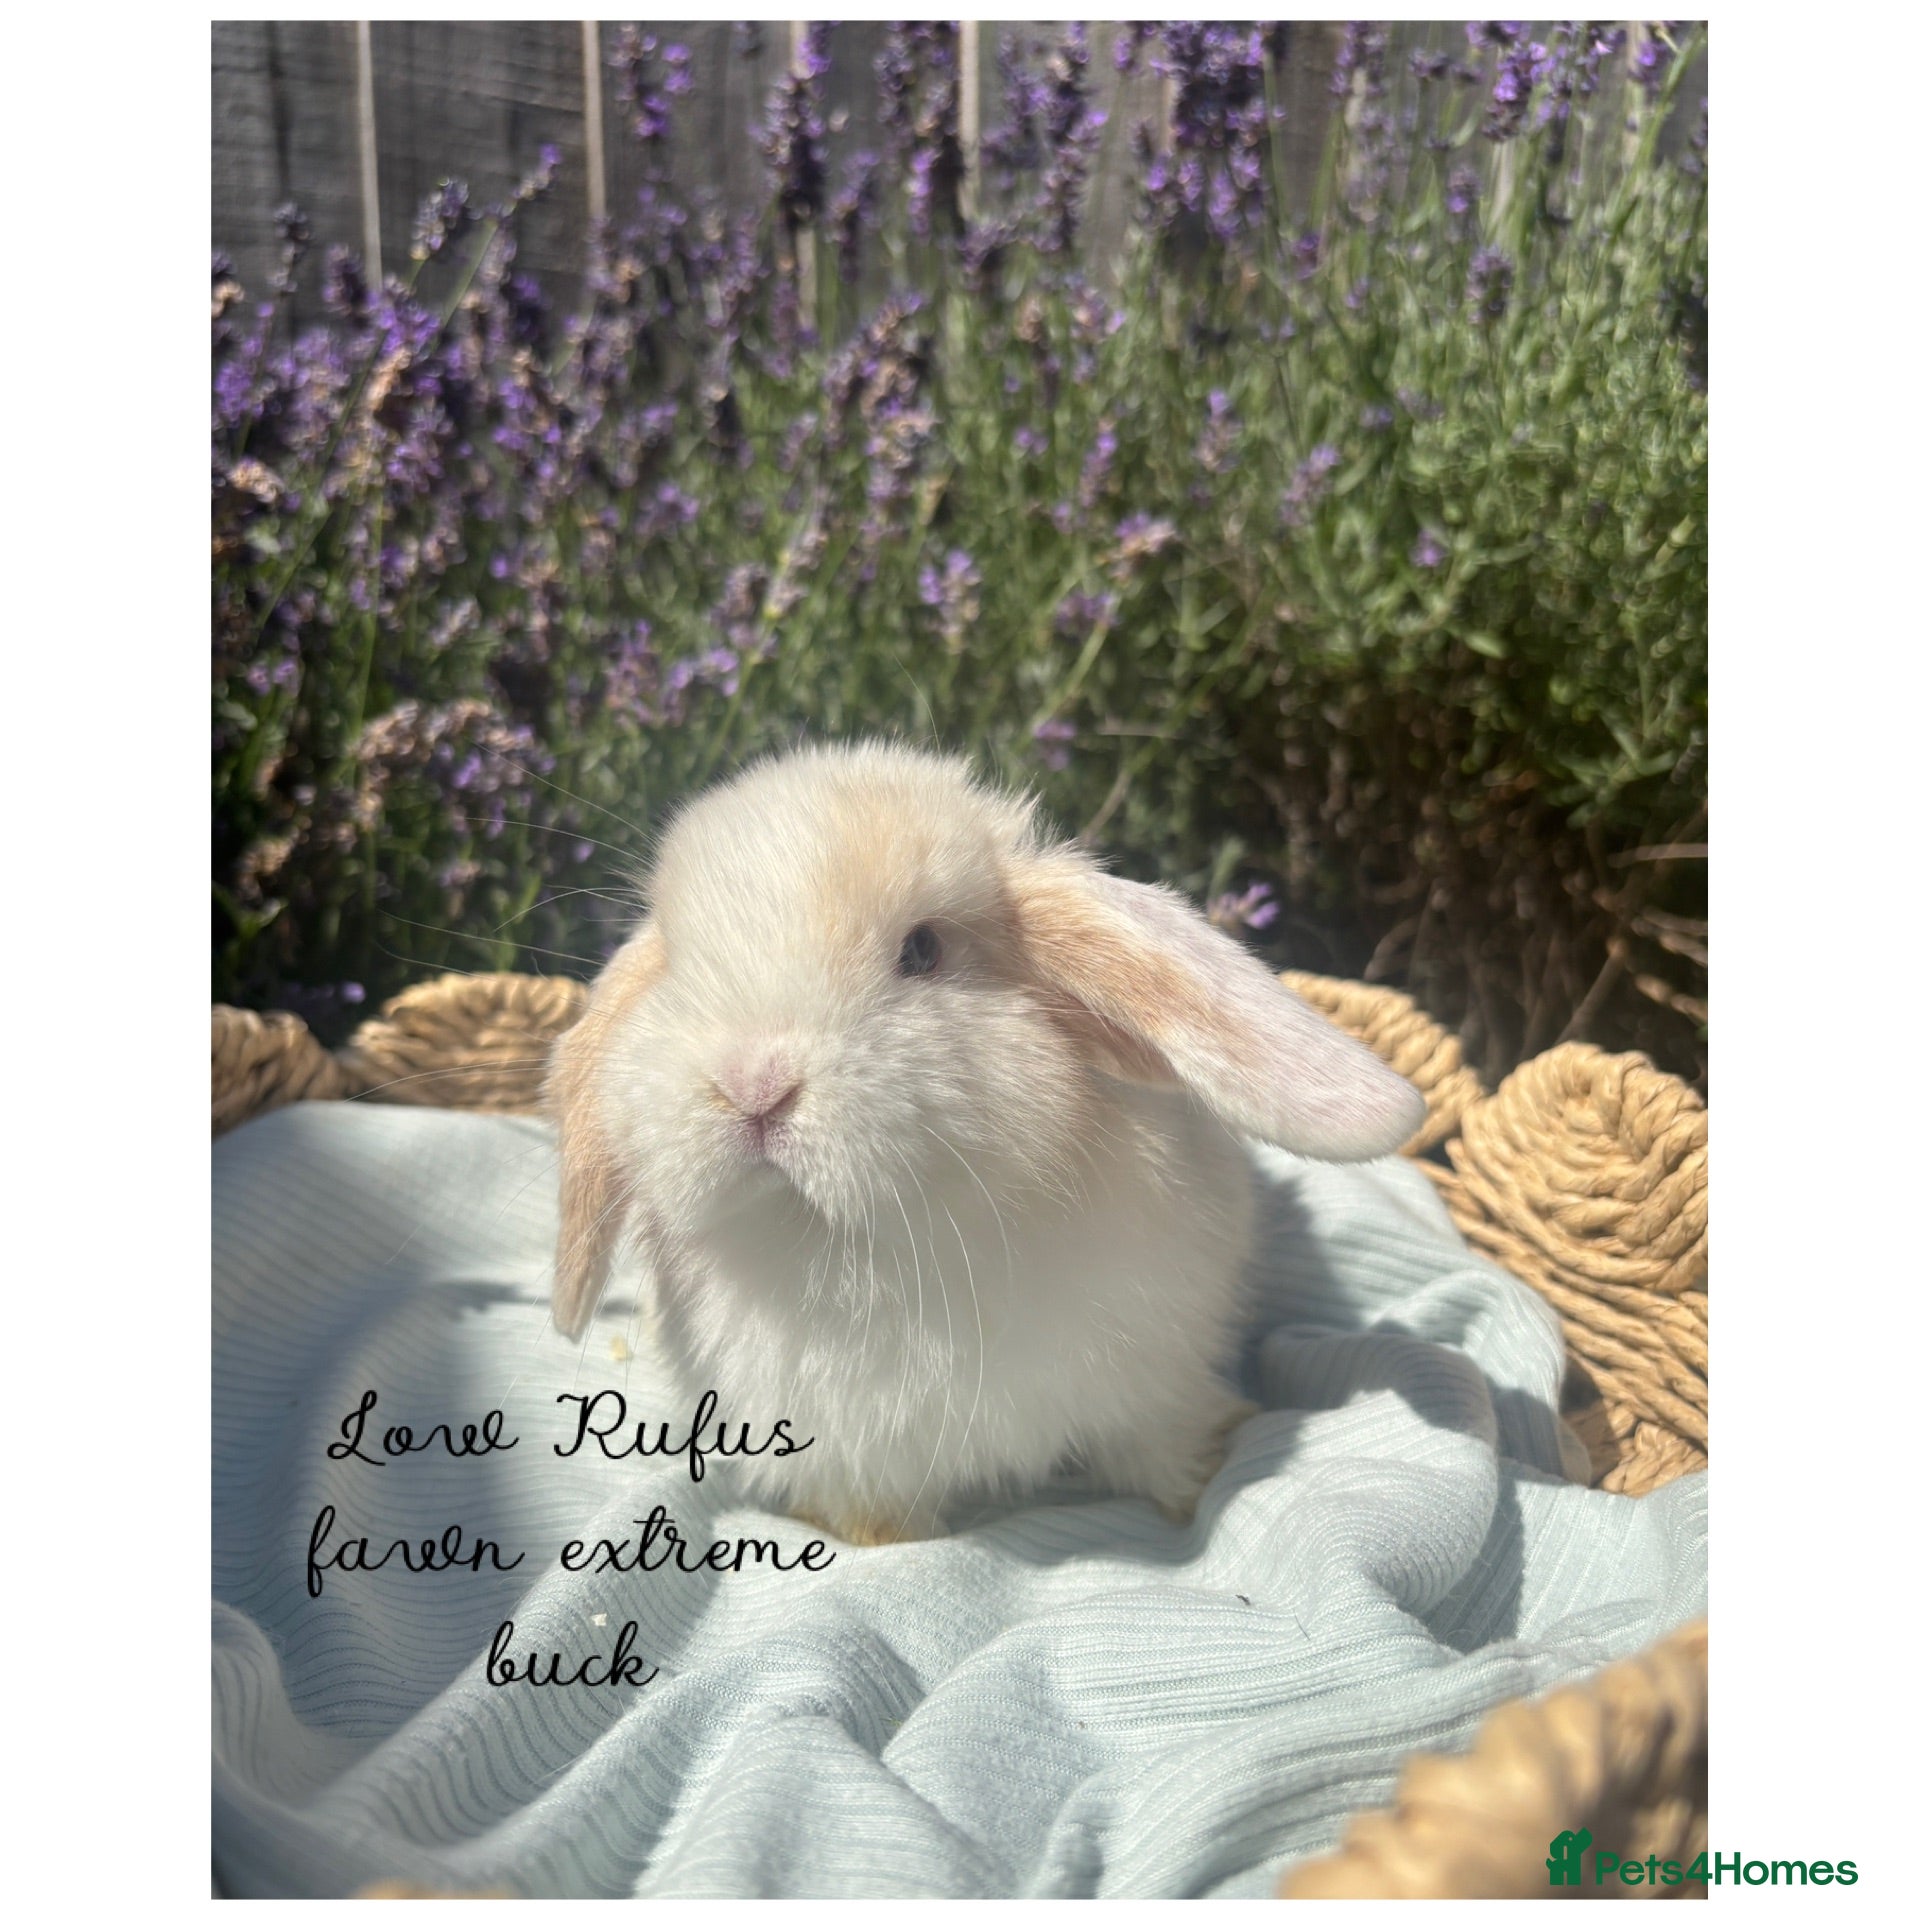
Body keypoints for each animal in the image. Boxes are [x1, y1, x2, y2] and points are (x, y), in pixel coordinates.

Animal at [545, 741, 1425, 1545]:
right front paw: (881, 1542)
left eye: (923, 950)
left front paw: (1197, 1491)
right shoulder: (848, 1457)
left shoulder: (1158, 1384)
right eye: (677, 968)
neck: (864, 1248)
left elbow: (1165, 1444)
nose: (752, 1084)